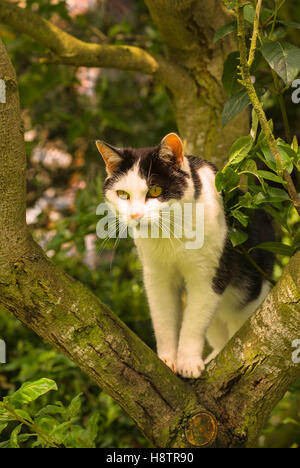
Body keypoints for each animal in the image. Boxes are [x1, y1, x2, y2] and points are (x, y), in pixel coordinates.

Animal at [96, 131, 274, 376]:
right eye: (122, 194)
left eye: (155, 191)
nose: (135, 215)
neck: (170, 234)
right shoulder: (157, 277)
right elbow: (163, 319)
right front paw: (167, 359)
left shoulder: (208, 275)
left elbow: (194, 322)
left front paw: (188, 362)